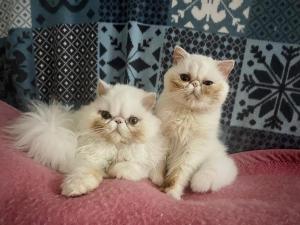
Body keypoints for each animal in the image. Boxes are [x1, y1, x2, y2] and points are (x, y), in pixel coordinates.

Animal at [7, 80, 166, 195]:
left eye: (133, 120)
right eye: (106, 115)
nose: (118, 120)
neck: (115, 147)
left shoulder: (145, 163)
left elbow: (130, 166)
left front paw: (114, 170)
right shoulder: (89, 160)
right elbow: (83, 174)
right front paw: (74, 189)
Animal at [156, 46, 238, 200]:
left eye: (207, 83)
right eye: (185, 78)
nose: (194, 84)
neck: (188, 113)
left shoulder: (192, 149)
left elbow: (178, 174)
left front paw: (171, 193)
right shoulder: (163, 138)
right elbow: (158, 163)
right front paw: (157, 180)